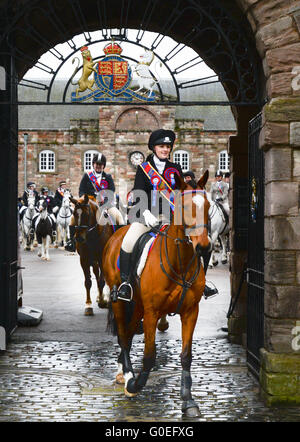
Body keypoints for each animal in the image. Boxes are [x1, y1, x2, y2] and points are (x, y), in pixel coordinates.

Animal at [103, 170, 211, 418]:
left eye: (208, 206)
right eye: (184, 206)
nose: (204, 247)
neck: (179, 264)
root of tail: (117, 233)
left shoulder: (190, 312)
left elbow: (186, 356)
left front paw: (188, 401)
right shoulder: (152, 313)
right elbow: (149, 356)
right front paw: (134, 385)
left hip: (137, 306)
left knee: (128, 334)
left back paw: (123, 370)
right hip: (121, 302)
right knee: (123, 335)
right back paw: (127, 375)